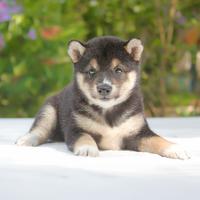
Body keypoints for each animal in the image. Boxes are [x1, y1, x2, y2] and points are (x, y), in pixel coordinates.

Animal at [15, 35, 189, 159]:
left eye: (118, 70)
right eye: (91, 71)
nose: (104, 88)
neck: (108, 112)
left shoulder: (138, 133)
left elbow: (157, 139)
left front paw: (175, 148)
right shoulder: (75, 128)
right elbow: (85, 137)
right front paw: (87, 148)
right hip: (49, 110)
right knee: (40, 129)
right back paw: (25, 139)